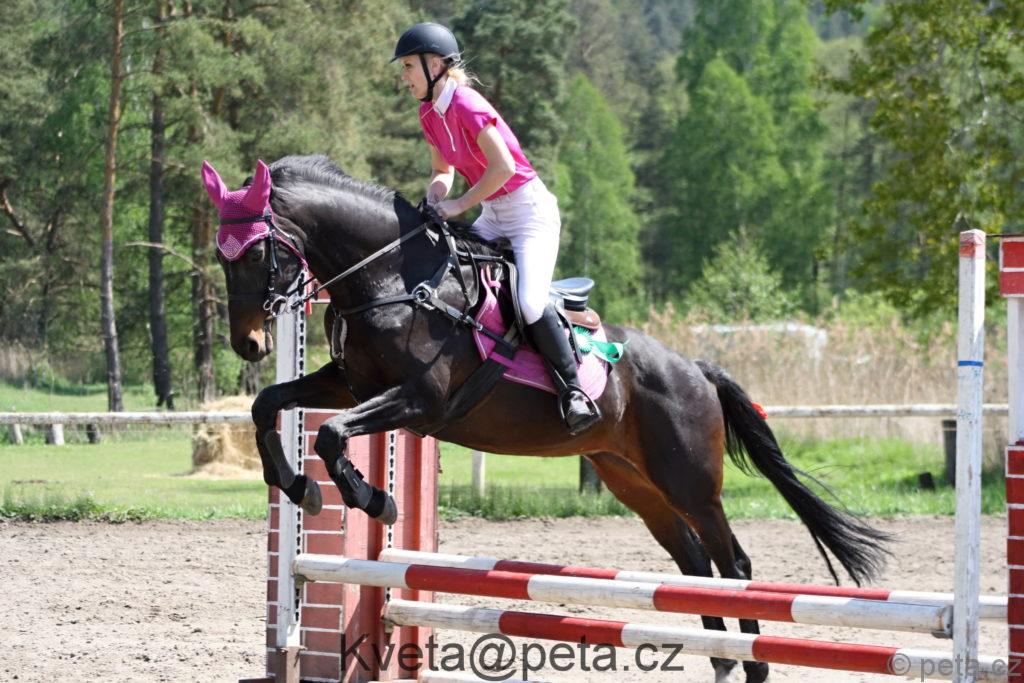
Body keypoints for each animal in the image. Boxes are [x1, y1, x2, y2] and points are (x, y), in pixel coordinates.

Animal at [203, 154, 889, 683]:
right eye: (221, 254)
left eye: (258, 253)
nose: (248, 344)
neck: (391, 280)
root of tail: (694, 369)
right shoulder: (351, 385)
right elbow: (273, 407)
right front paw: (299, 486)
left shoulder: (420, 400)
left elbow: (327, 432)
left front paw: (372, 498)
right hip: (634, 482)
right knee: (694, 563)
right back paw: (719, 657)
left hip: (690, 482)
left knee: (734, 566)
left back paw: (752, 662)